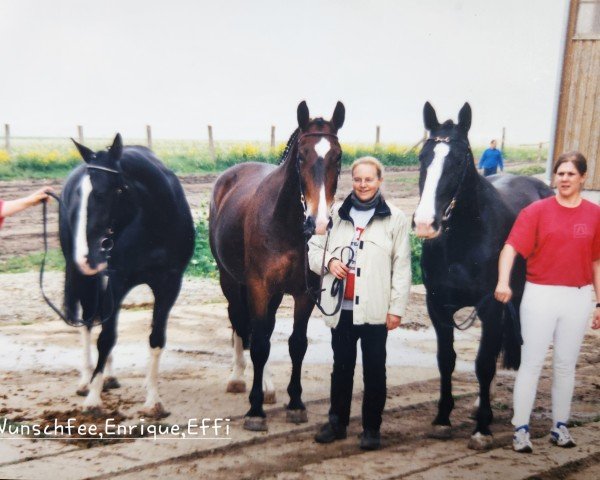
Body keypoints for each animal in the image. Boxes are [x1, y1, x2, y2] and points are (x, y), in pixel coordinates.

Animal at [59, 134, 195, 416]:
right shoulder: (118, 281)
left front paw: (153, 400)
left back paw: (108, 376)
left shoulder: (169, 284)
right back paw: (87, 380)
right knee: (88, 321)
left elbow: (156, 338)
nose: (86, 255)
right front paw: (93, 398)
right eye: (80, 194)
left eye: (101, 194)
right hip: (85, 277)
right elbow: (105, 338)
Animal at [209, 101, 344, 432]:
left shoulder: (305, 293)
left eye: (338, 156)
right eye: (301, 156)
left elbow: (296, 344)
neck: (286, 223)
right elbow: (257, 344)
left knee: (266, 329)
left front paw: (295, 403)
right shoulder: (258, 287)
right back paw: (237, 378)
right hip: (230, 281)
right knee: (239, 322)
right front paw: (254, 411)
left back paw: (268, 386)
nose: (319, 222)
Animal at [412, 102, 552, 450]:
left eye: (459, 159)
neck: (463, 238)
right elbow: (446, 360)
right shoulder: (438, 307)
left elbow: (484, 362)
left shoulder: (491, 305)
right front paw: (443, 419)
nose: (425, 222)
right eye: (423, 157)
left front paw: (482, 429)